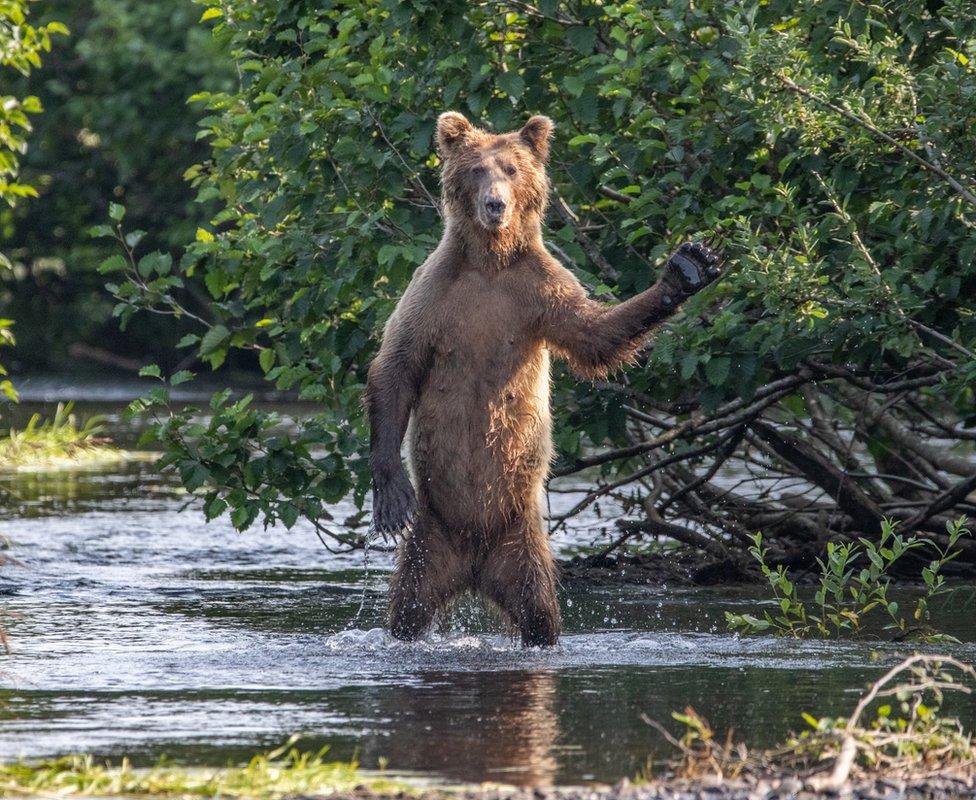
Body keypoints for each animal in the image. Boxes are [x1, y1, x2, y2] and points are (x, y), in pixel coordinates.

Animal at [366, 112, 716, 648]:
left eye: (512, 169)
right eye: (476, 169)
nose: (495, 204)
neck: (490, 263)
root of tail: (473, 566)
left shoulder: (538, 290)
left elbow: (593, 335)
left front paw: (686, 270)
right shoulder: (434, 293)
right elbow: (396, 367)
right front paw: (390, 497)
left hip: (521, 541)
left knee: (538, 610)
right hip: (432, 537)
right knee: (408, 606)